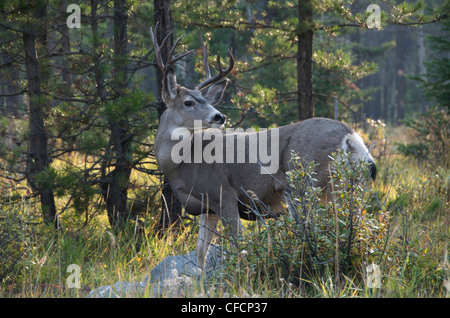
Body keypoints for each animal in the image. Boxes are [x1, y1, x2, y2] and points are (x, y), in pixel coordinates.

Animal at [151, 23, 376, 270]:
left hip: (304, 184)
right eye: (189, 102)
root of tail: (350, 136)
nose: (220, 116)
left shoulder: (224, 193)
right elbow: (201, 254)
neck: (180, 165)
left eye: (204, 100)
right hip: (349, 187)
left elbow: (238, 246)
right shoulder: (207, 207)